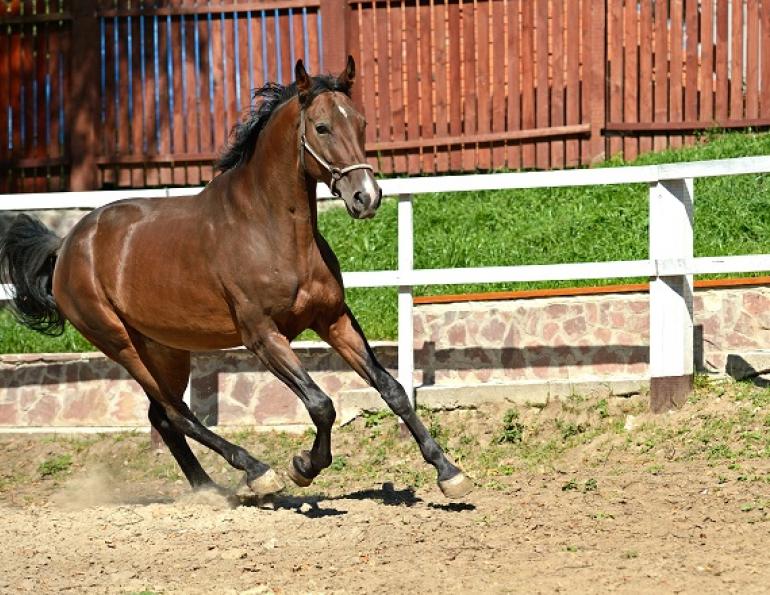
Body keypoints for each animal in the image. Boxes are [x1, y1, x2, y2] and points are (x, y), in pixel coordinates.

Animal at [0, 57, 472, 499]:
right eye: (321, 127)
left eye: (361, 123)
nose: (366, 198)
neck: (271, 230)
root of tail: (68, 245)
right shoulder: (262, 335)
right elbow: (321, 404)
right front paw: (302, 467)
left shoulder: (334, 319)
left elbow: (392, 389)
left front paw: (449, 473)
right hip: (120, 344)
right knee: (176, 412)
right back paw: (256, 473)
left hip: (166, 349)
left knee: (163, 416)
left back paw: (210, 490)